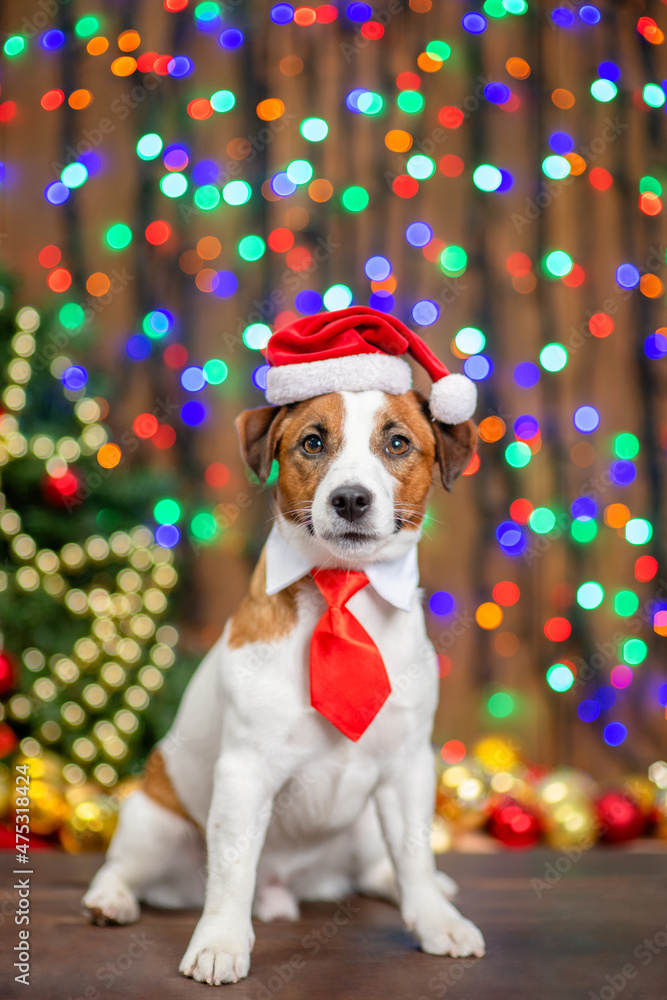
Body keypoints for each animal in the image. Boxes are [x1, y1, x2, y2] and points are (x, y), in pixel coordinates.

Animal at [82, 382, 486, 984]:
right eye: (312, 442)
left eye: (397, 443)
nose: (350, 499)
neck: (342, 589)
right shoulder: (245, 773)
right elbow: (231, 870)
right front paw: (221, 942)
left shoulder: (407, 767)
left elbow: (415, 853)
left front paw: (437, 920)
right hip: (153, 825)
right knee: (121, 867)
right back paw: (111, 900)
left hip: (364, 825)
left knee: (380, 867)